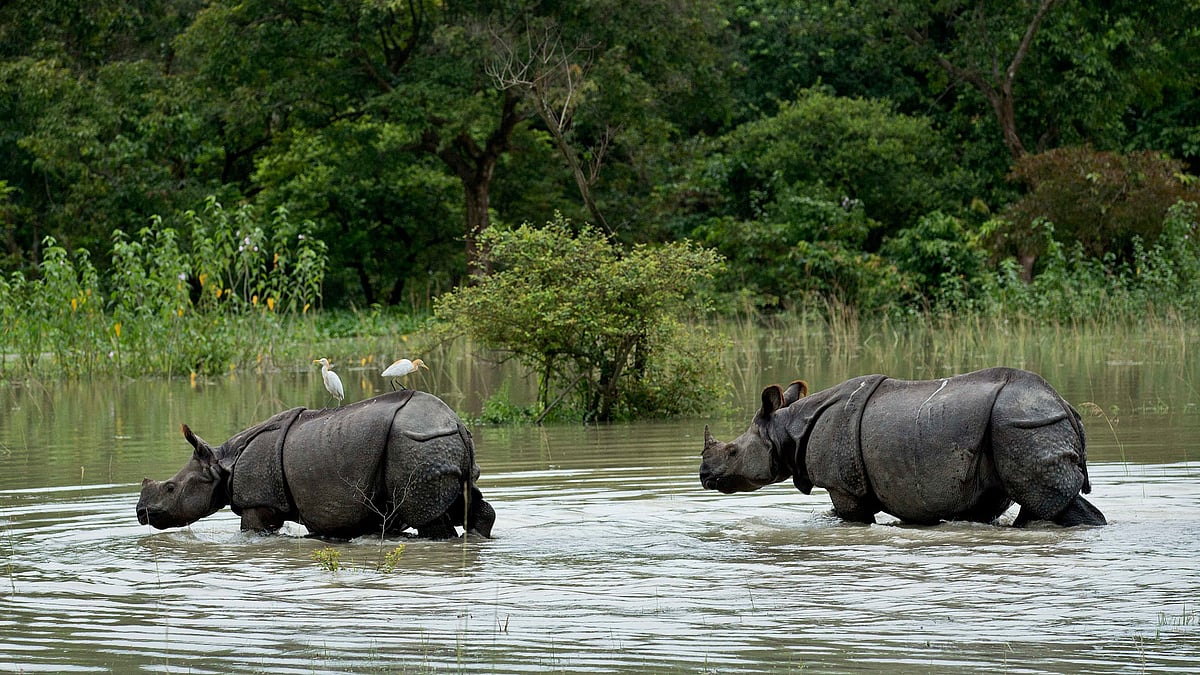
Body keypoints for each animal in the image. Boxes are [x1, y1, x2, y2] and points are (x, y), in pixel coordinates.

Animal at [136, 389, 495, 539]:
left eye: (171, 488)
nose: (141, 513)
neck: (222, 463)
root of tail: (455, 422)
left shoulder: (258, 501)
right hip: (436, 443)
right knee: (469, 502)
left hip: (416, 443)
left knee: (431, 519)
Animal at [700, 367, 1106, 527]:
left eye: (732, 452)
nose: (703, 475)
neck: (788, 426)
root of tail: (1064, 405)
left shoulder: (844, 486)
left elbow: (849, 518)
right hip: (1026, 424)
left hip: (1023, 424)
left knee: (1045, 506)